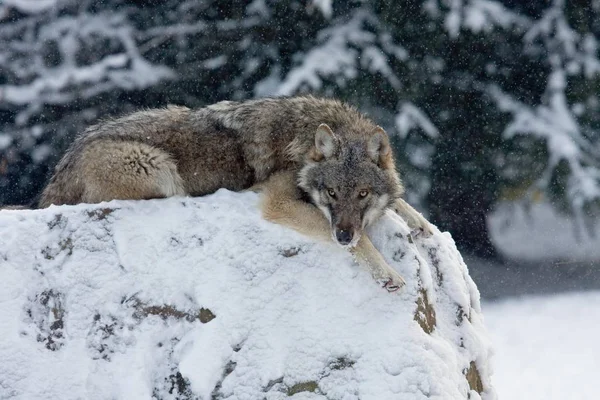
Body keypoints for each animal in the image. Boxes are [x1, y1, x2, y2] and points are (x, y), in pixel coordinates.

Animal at [32, 95, 432, 292]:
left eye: (362, 193)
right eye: (332, 192)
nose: (344, 235)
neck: (304, 142)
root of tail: (61, 167)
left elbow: (400, 200)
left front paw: (421, 224)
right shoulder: (279, 202)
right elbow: (361, 242)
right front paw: (387, 273)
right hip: (159, 168)